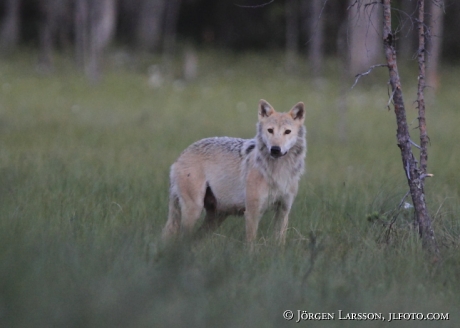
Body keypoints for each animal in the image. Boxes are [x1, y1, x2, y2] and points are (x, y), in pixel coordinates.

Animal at [162, 98, 306, 245]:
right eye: (270, 130)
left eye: (287, 131)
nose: (275, 149)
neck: (279, 171)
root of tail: (181, 155)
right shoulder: (252, 213)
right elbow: (251, 243)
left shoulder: (283, 211)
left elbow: (280, 243)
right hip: (195, 210)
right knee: (183, 238)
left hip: (216, 217)